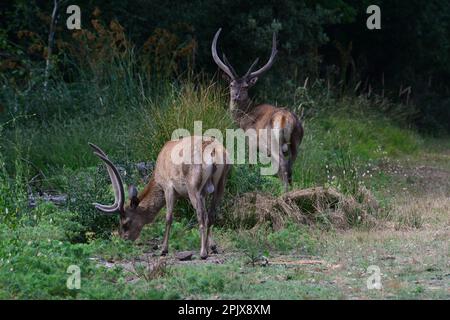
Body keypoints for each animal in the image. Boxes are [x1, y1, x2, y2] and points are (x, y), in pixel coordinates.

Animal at [89, 136, 230, 260]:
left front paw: (163, 250)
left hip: (193, 186)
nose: (124, 241)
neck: (157, 175)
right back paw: (208, 249)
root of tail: (213, 152)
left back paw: (202, 253)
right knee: (211, 215)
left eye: (125, 223)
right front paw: (213, 246)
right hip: (221, 184)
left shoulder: (168, 187)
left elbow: (168, 218)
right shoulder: (204, 194)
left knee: (201, 215)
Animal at [212, 28, 304, 192]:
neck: (243, 118)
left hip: (273, 142)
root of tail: (288, 119)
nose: (236, 96)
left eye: (245, 87)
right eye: (231, 84)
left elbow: (249, 165)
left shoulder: (250, 142)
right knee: (291, 166)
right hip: (296, 142)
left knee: (282, 165)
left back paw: (284, 192)